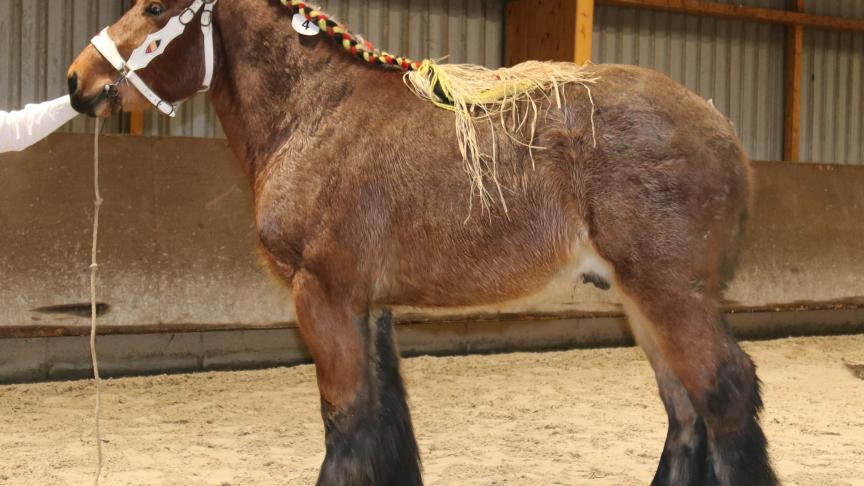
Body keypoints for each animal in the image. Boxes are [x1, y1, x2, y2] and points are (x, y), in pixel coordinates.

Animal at [67, 0, 780, 486]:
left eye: (154, 7)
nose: (78, 81)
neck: (316, 112)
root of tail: (719, 124)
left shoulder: (322, 295)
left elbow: (347, 418)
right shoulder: (365, 304)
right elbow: (384, 414)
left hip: (671, 296)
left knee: (725, 396)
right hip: (643, 303)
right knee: (685, 412)